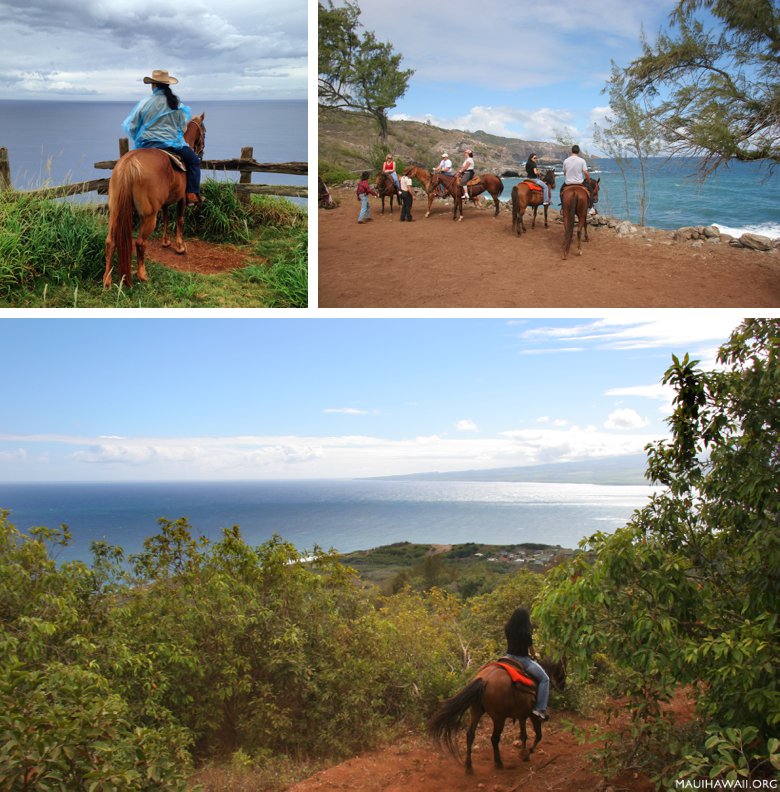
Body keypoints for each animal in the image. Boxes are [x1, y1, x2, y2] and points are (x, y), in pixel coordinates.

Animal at [104, 114, 207, 290]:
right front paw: (180, 246)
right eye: (204, 132)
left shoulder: (165, 203)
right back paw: (142, 275)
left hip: (115, 211)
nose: (202, 151)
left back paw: (107, 280)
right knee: (140, 243)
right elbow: (179, 220)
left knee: (110, 241)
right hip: (149, 216)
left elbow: (166, 218)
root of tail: (129, 164)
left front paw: (165, 242)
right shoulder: (181, 199)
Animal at [430, 656, 564, 772]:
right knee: (494, 738)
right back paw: (498, 763)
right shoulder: (533, 715)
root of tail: (485, 679)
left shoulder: (522, 715)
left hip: (476, 711)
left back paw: (469, 767)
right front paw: (528, 753)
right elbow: (538, 735)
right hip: (499, 718)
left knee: (470, 735)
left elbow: (524, 735)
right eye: (562, 672)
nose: (563, 687)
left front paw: (523, 753)